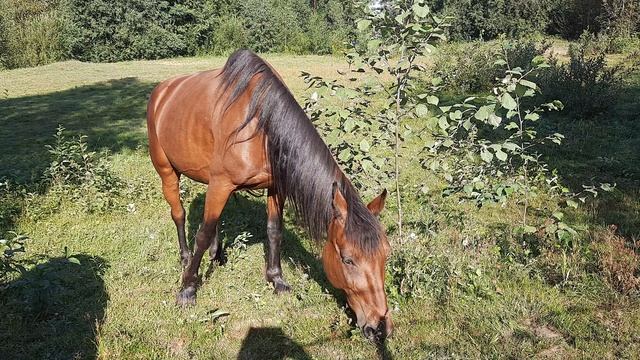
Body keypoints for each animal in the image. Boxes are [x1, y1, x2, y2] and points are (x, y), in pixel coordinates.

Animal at [147, 49, 392, 338]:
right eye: (348, 260)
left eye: (386, 255)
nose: (380, 326)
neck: (261, 123)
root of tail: (162, 90)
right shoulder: (222, 183)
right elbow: (203, 234)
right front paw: (187, 289)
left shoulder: (274, 188)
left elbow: (274, 230)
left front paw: (276, 279)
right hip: (167, 171)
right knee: (179, 214)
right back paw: (185, 258)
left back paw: (217, 256)